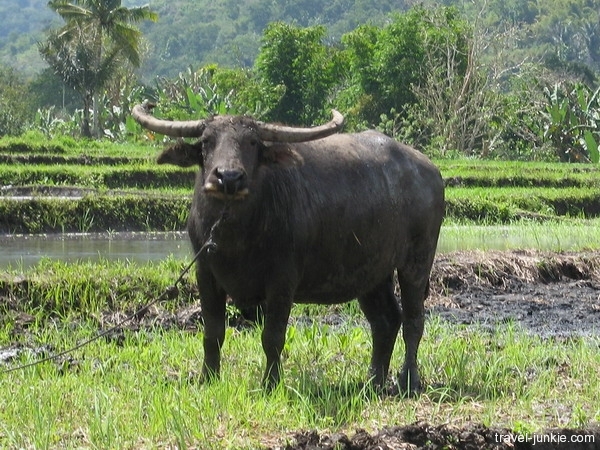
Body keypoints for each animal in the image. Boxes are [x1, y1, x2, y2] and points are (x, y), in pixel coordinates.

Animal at [135, 103, 446, 394]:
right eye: (207, 141)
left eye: (252, 143)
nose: (229, 178)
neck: (234, 236)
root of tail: (430, 172)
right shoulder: (205, 273)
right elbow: (213, 333)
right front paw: (208, 378)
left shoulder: (283, 280)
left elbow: (272, 337)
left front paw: (271, 384)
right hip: (372, 272)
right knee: (385, 320)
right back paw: (373, 381)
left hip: (418, 261)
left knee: (413, 321)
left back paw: (409, 381)